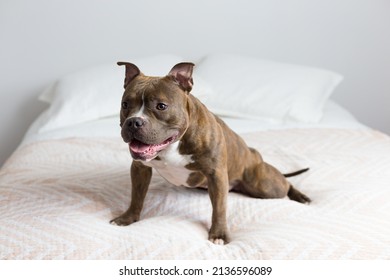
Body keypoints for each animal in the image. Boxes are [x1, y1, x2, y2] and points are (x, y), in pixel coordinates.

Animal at [110, 61, 310, 245]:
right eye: (125, 104)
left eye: (161, 106)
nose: (134, 122)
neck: (174, 145)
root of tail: (255, 156)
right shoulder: (140, 168)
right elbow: (137, 196)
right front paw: (128, 218)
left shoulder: (217, 175)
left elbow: (219, 208)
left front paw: (219, 234)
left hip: (265, 184)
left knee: (285, 184)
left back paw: (301, 196)